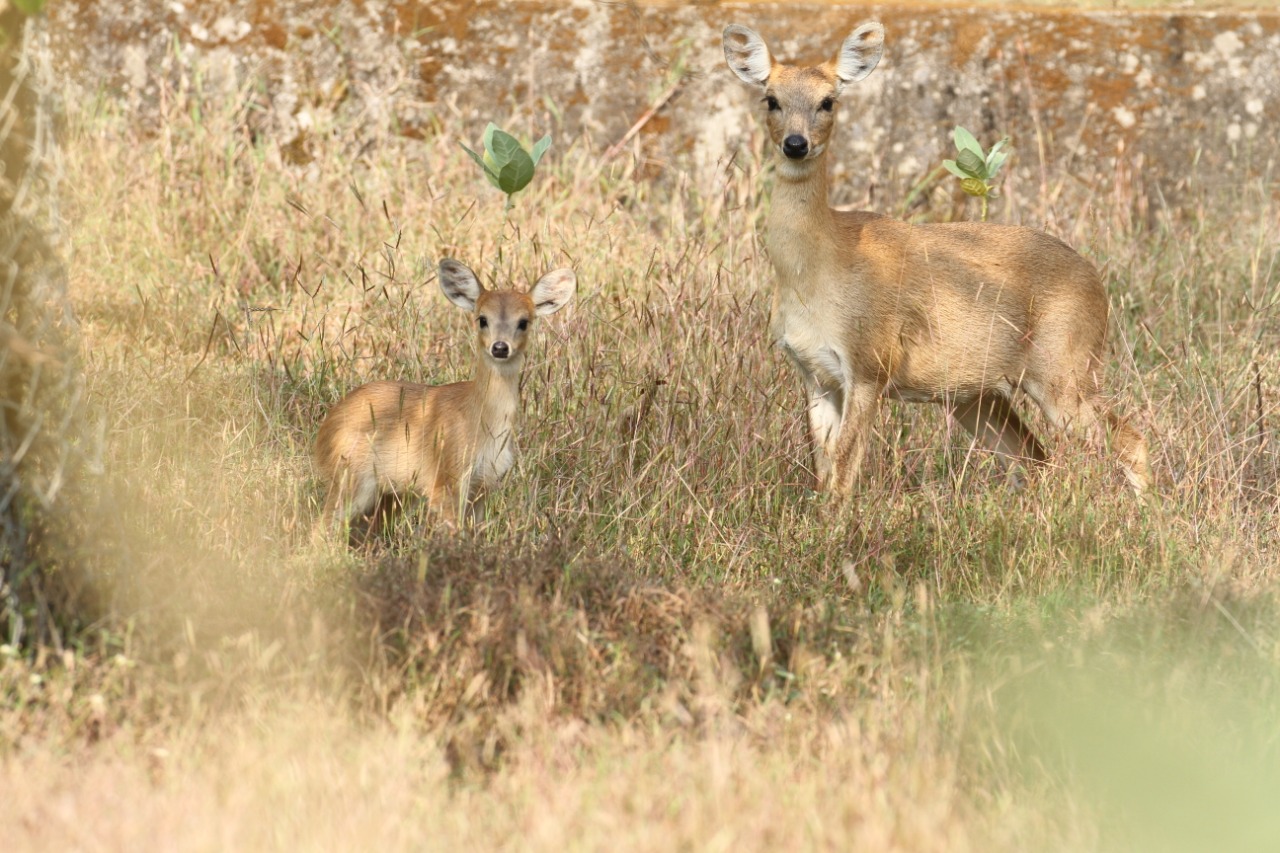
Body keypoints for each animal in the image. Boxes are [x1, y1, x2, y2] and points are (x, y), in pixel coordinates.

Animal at [317, 256, 578, 535]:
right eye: (482, 319)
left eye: (524, 321)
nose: (499, 347)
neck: (482, 424)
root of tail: (325, 430)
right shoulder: (446, 479)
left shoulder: (484, 485)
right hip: (351, 478)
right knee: (318, 529)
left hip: (390, 495)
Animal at [721, 19, 1152, 494]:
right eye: (771, 99)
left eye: (828, 101)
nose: (796, 144)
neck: (818, 269)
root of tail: (1097, 281)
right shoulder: (815, 374)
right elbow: (824, 475)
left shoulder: (870, 363)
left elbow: (844, 477)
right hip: (980, 394)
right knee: (1035, 457)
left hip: (1066, 366)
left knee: (1130, 440)